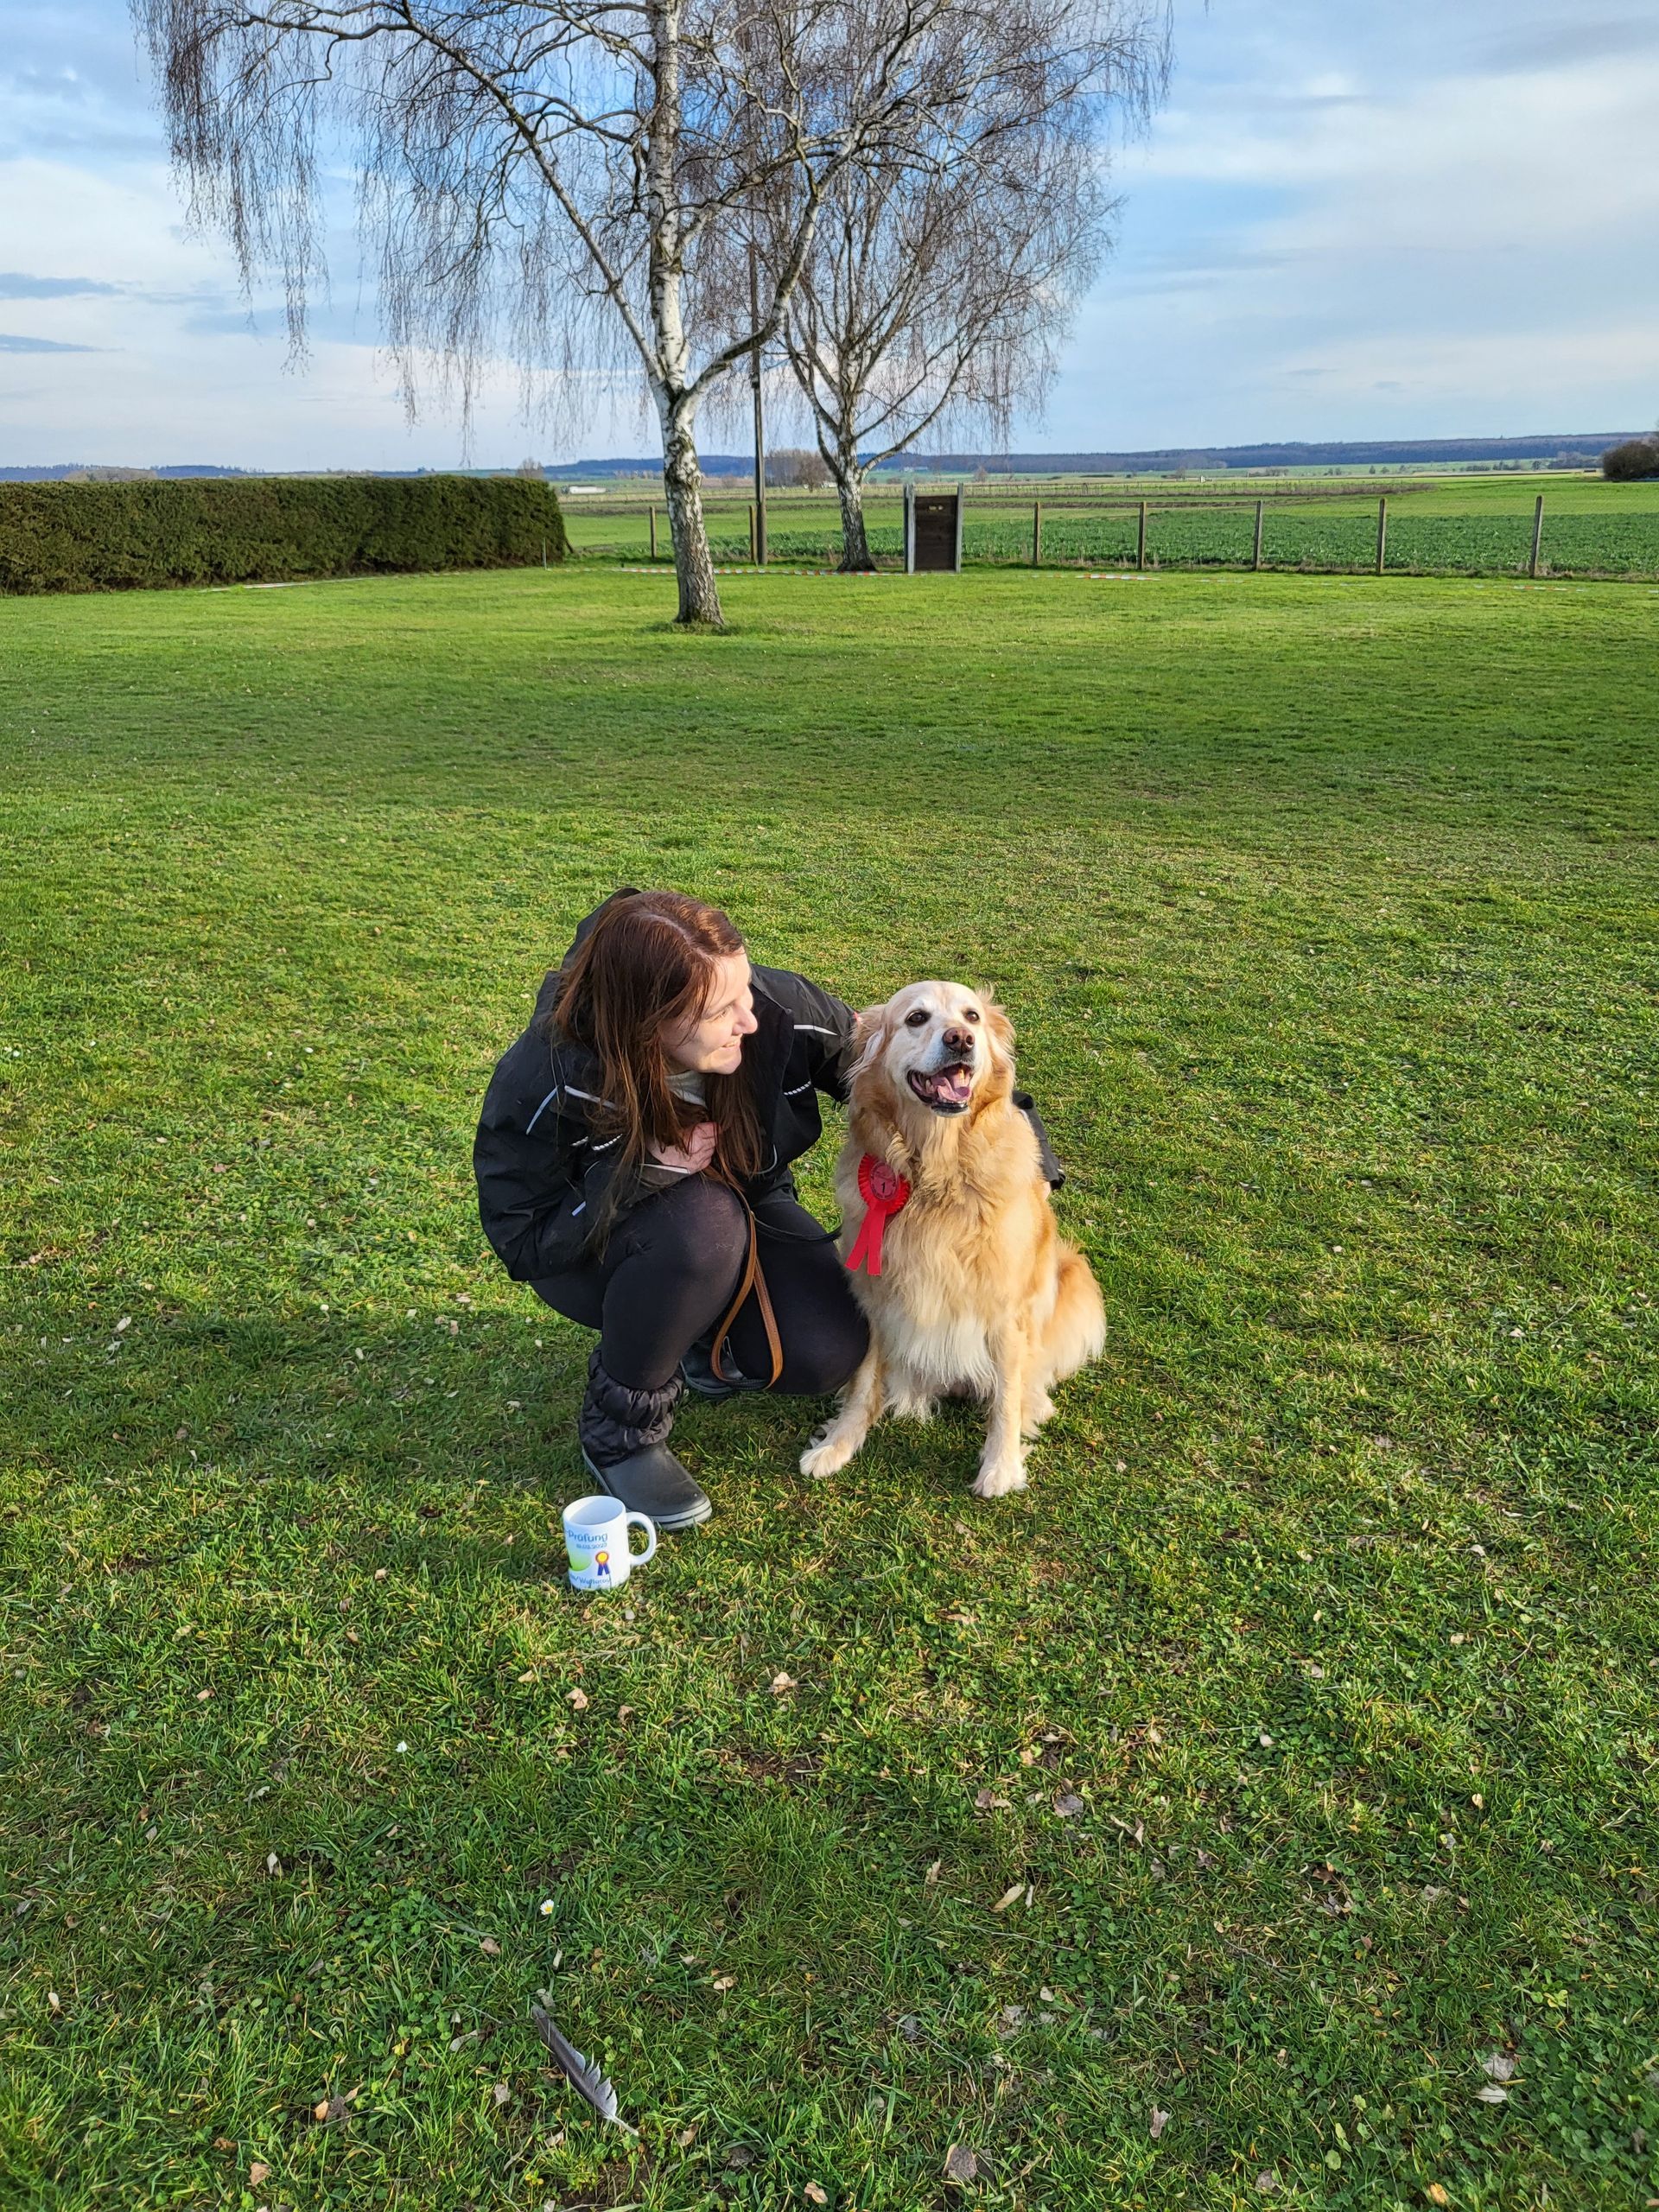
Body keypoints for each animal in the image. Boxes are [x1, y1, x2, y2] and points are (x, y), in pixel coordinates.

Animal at [800, 982, 1105, 1497]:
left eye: (973, 1016)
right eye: (916, 1018)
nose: (961, 1039)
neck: (938, 1174)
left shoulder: (1007, 1308)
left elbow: (1006, 1396)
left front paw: (1000, 1466)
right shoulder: (877, 1295)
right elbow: (865, 1381)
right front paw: (839, 1443)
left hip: (1074, 1275)